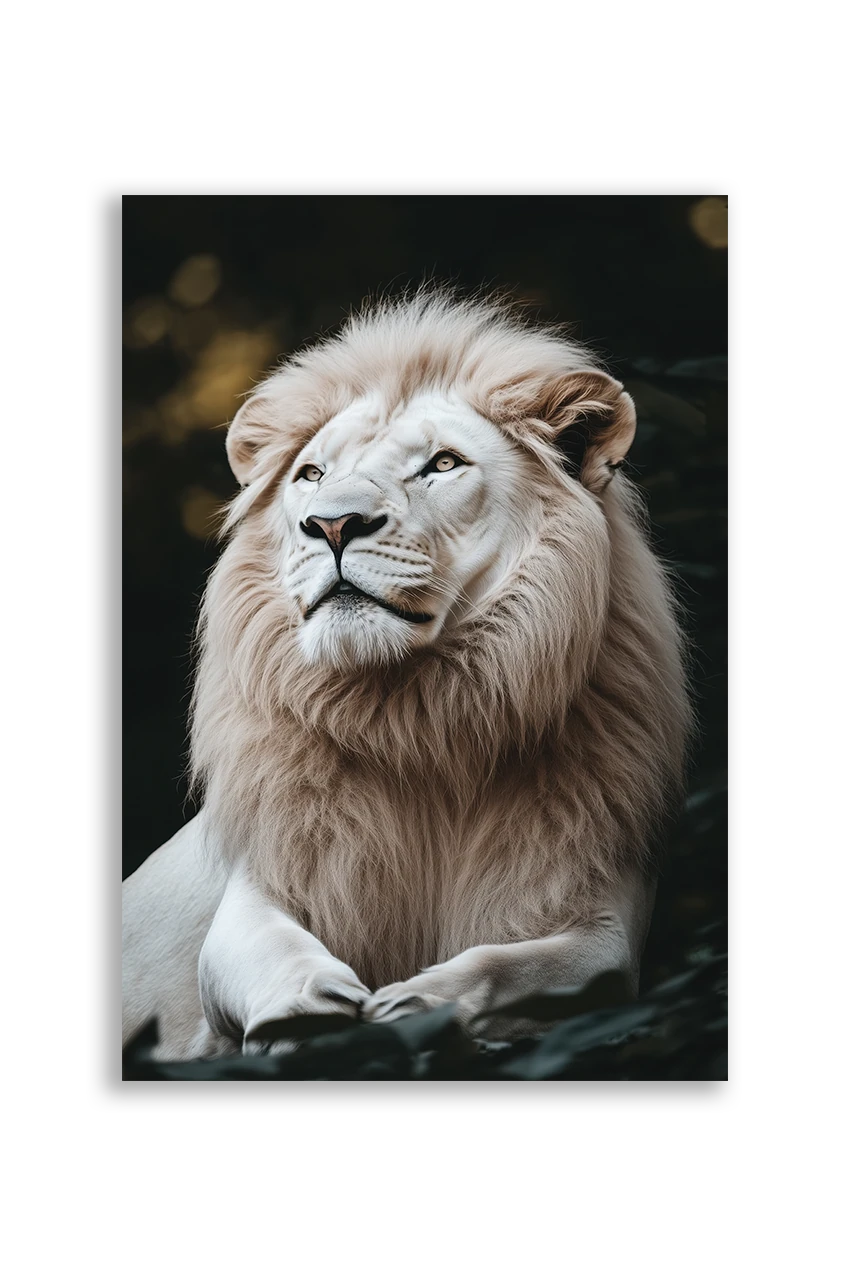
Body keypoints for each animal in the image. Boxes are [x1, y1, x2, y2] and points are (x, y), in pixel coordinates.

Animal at [122, 290, 691, 1060]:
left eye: (443, 464)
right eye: (311, 476)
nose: (332, 525)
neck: (418, 714)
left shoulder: (606, 917)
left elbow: (527, 966)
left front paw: (419, 1004)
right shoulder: (262, 882)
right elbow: (265, 949)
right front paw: (313, 1008)